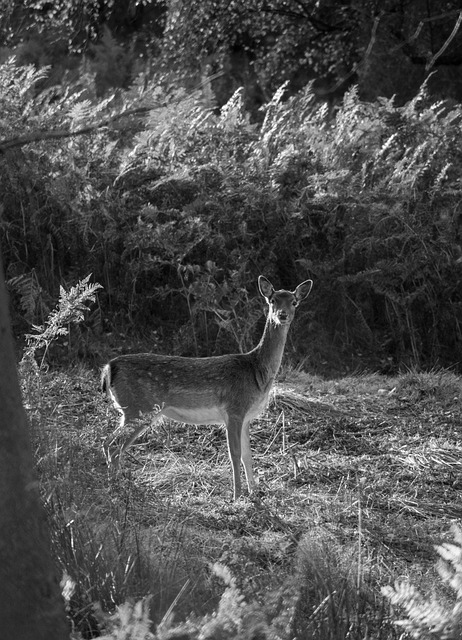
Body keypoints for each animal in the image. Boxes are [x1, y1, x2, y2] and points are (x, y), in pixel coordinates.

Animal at [99, 276, 312, 500]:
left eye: (294, 302)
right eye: (272, 300)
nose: (282, 315)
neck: (257, 372)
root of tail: (109, 367)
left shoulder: (246, 416)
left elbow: (248, 455)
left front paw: (254, 493)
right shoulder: (234, 409)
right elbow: (235, 454)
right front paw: (237, 496)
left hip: (131, 411)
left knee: (107, 442)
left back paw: (115, 485)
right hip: (139, 407)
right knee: (114, 447)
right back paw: (117, 488)